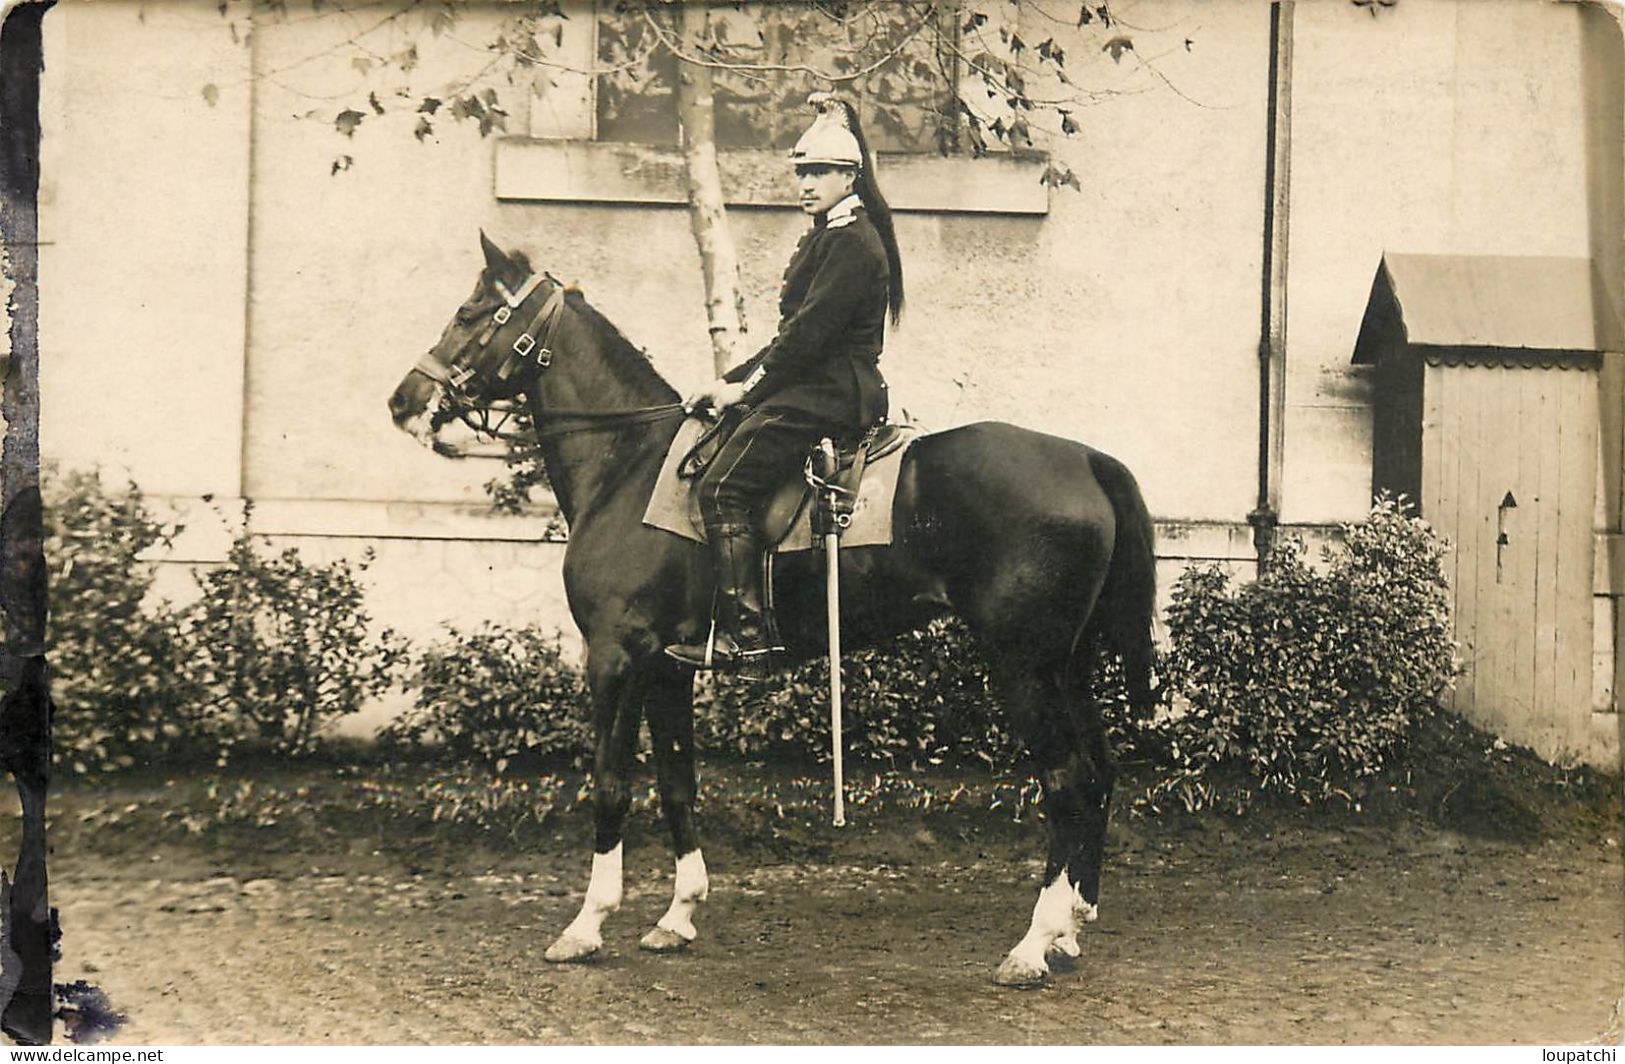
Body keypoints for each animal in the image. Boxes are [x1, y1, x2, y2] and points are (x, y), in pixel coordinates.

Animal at [388, 237, 1163, 987]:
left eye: (468, 313)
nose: (403, 401)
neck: (628, 463)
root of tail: (1087, 459)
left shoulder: (614, 657)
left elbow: (610, 784)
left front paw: (586, 926)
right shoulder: (667, 670)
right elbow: (677, 785)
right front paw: (679, 914)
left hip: (1023, 665)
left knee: (1066, 782)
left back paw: (1031, 946)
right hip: (1069, 665)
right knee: (1098, 773)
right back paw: (1068, 930)